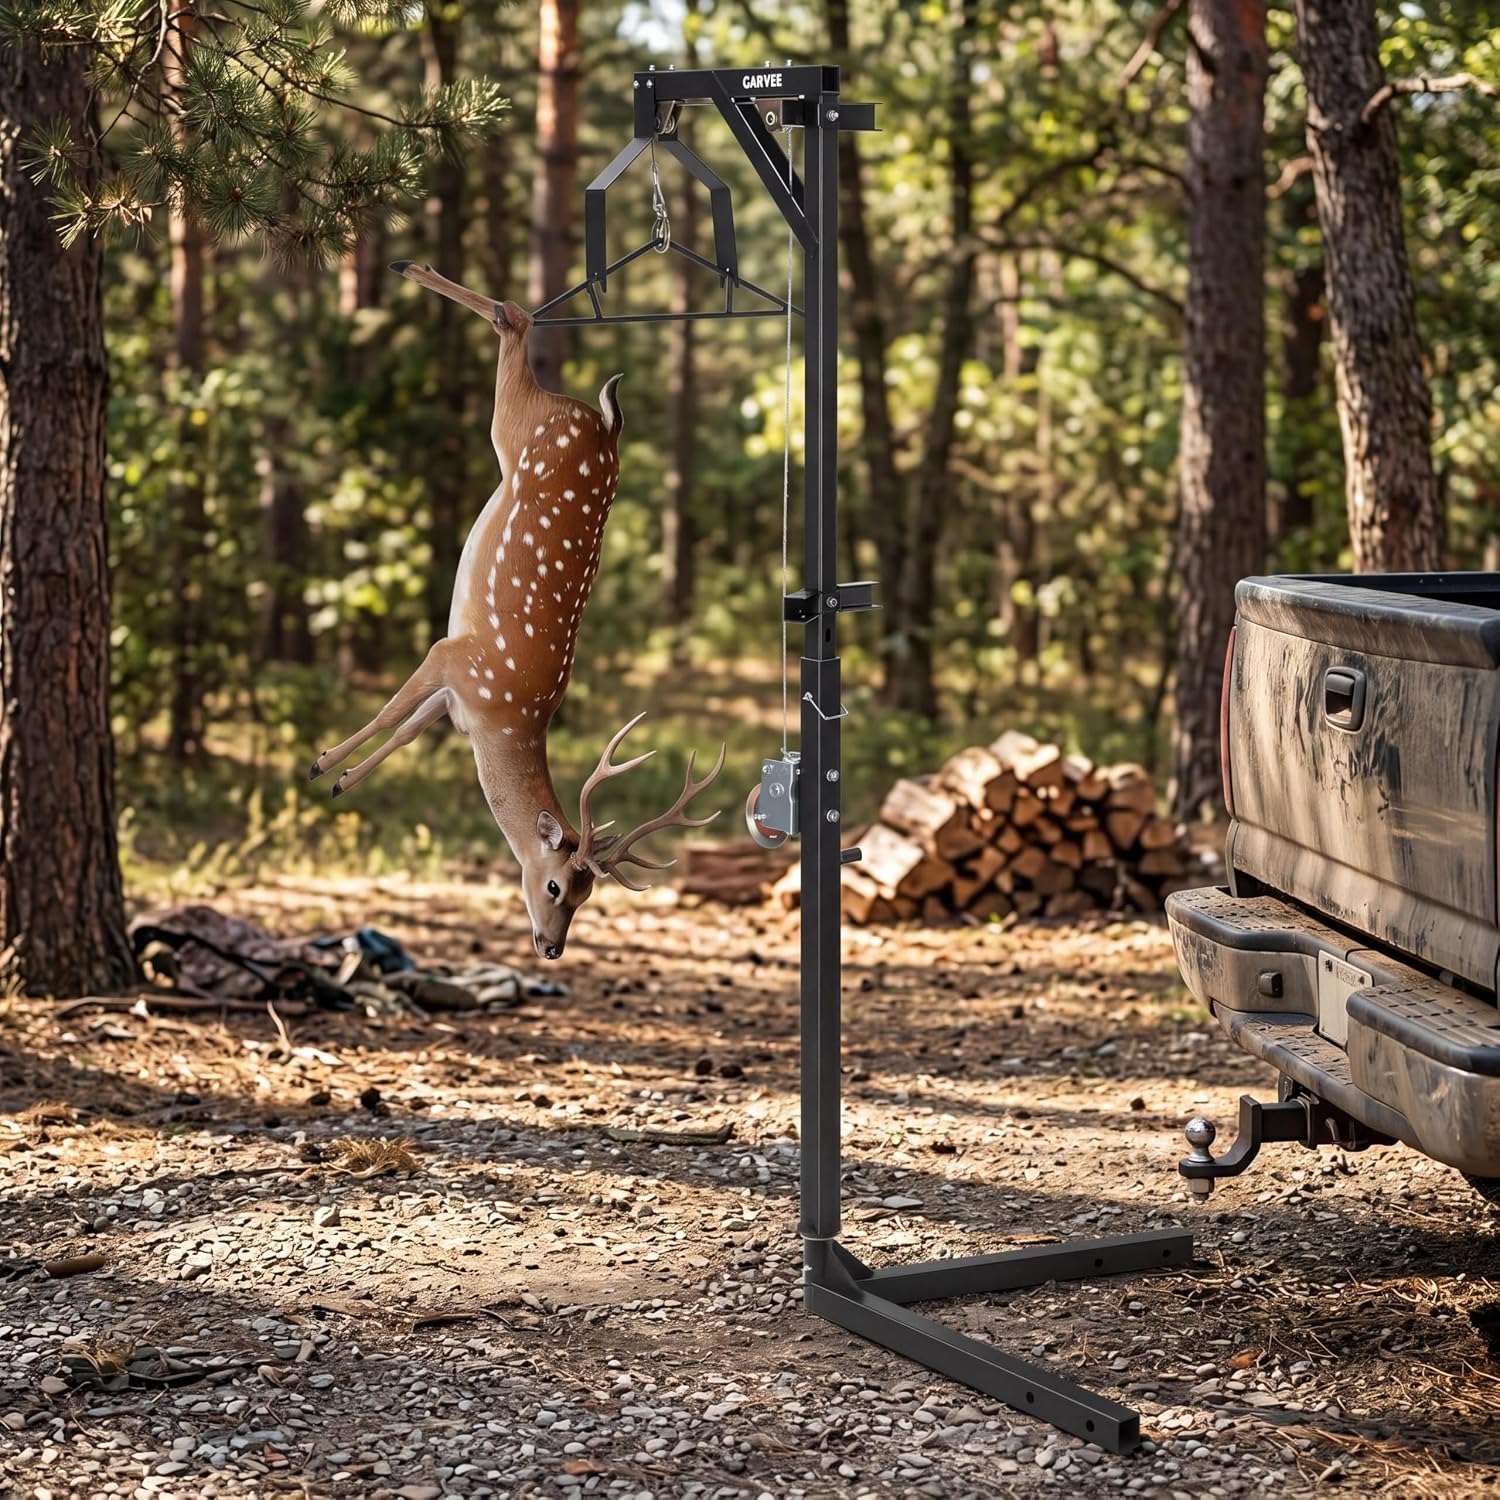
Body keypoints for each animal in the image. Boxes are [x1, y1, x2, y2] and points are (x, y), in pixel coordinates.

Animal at [309, 262, 724, 960]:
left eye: (587, 897)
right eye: (558, 884)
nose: (551, 948)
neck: (504, 721)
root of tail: (603, 422)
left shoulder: (455, 697)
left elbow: (406, 729)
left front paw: (339, 781)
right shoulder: (452, 657)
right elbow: (392, 713)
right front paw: (320, 764)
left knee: (514, 323)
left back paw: (413, 271)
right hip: (517, 428)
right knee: (515, 324)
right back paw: (410, 268)